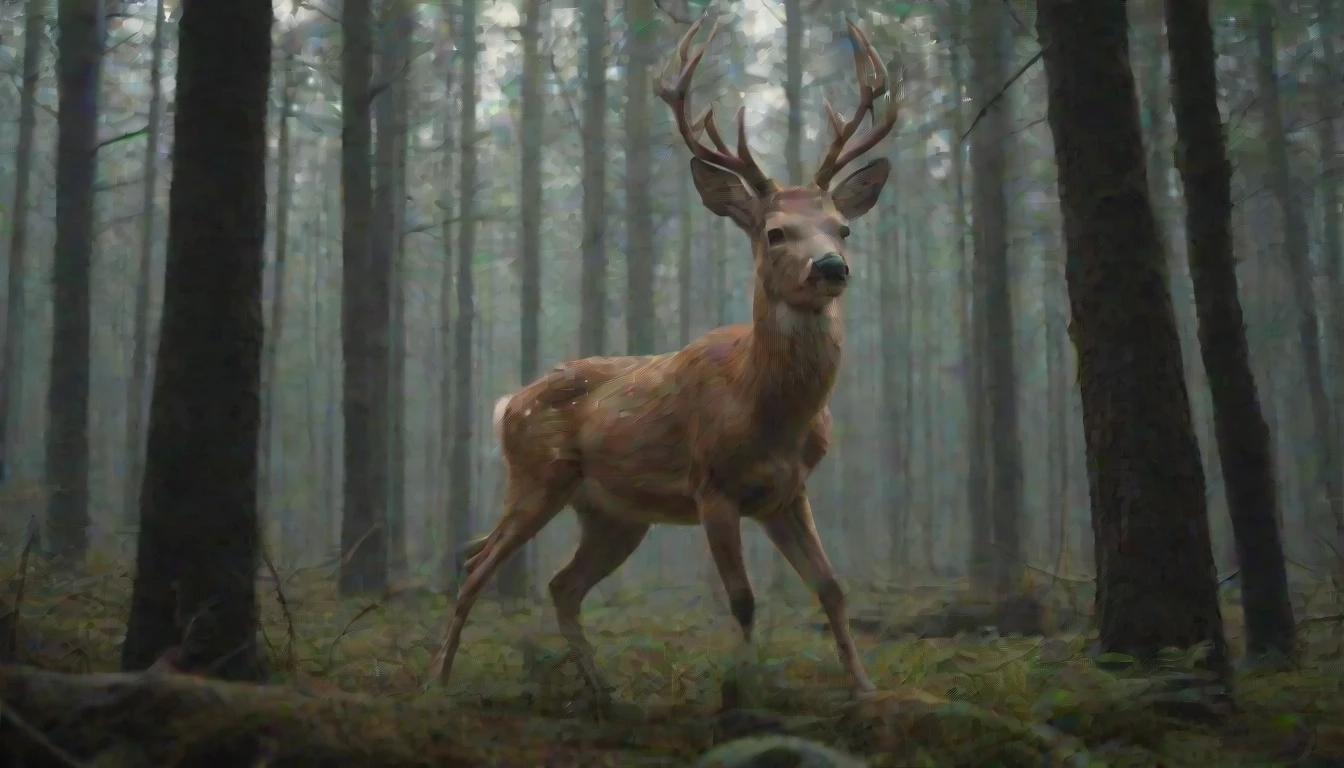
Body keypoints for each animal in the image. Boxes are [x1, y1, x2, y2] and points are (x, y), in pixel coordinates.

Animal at [426, 14, 899, 708]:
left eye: (843, 227)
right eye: (774, 232)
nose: (832, 267)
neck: (767, 410)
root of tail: (507, 403)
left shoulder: (788, 491)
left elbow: (832, 588)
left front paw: (864, 689)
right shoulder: (712, 485)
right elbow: (743, 599)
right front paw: (738, 693)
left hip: (614, 515)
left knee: (556, 582)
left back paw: (602, 690)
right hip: (537, 474)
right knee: (475, 565)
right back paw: (436, 678)